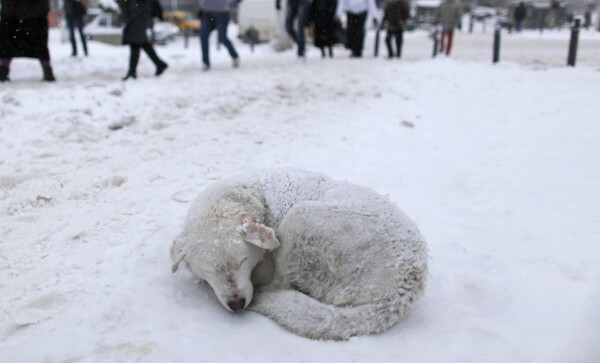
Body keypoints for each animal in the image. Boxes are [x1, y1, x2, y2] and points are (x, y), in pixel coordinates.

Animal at [171, 170, 428, 342]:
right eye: (211, 270)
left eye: (242, 261)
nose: (237, 304)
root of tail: (403, 288)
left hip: (300, 217)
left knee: (279, 285)